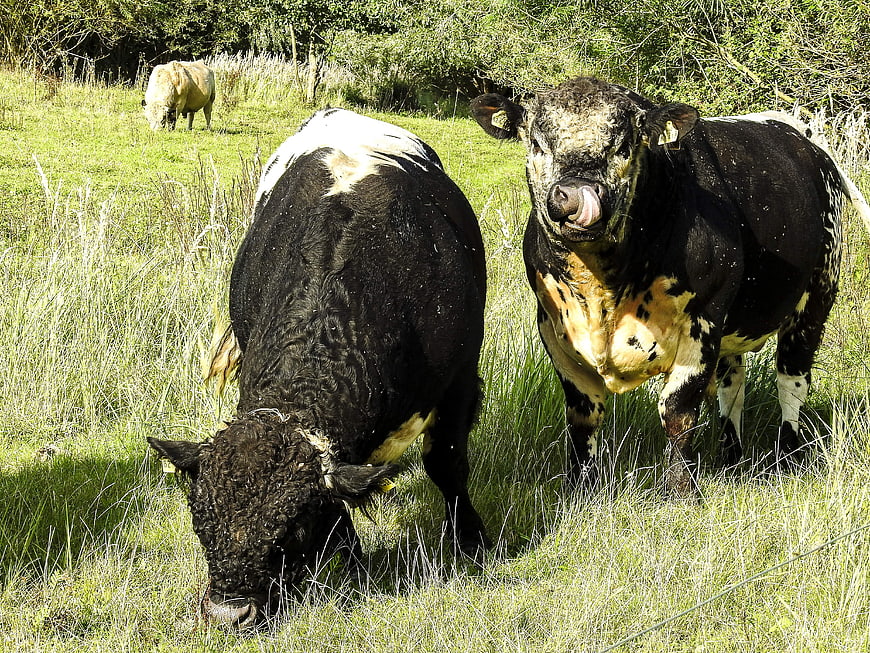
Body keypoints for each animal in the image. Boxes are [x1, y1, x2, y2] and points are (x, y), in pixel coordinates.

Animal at [148, 107, 489, 627]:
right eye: (199, 520)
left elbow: (447, 463)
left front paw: (471, 540)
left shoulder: (460, 379)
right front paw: (354, 562)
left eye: (290, 529)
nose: (228, 613)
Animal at [471, 77, 870, 498]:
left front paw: (679, 491)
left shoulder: (703, 320)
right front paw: (581, 490)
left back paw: (787, 457)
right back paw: (731, 458)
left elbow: (677, 410)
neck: (602, 291)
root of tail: (804, 138)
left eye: (624, 145)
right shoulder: (554, 327)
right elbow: (583, 415)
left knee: (791, 381)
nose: (575, 193)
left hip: (816, 297)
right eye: (537, 143)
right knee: (733, 387)